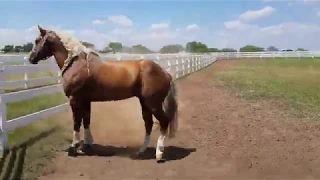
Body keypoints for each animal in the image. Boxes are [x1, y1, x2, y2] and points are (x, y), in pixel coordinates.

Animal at [28, 25, 178, 162]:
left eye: (37, 40)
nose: (31, 58)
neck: (77, 64)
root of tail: (165, 73)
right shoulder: (85, 100)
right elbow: (86, 121)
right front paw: (86, 145)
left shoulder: (75, 99)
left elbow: (76, 123)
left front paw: (73, 148)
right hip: (144, 104)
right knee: (149, 124)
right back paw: (141, 150)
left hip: (153, 104)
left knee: (164, 122)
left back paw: (159, 154)